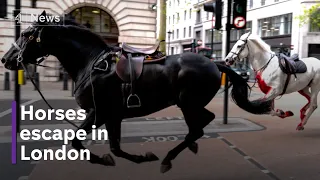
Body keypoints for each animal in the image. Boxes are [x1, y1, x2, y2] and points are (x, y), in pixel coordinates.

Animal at [1, 10, 272, 173]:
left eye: (26, 34)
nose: (6, 59)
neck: (91, 63)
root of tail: (215, 63)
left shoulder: (99, 112)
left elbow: (79, 141)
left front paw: (106, 159)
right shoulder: (111, 115)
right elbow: (113, 147)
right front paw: (134, 157)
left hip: (187, 103)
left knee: (198, 126)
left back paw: (169, 158)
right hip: (190, 104)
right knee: (203, 122)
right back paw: (188, 147)